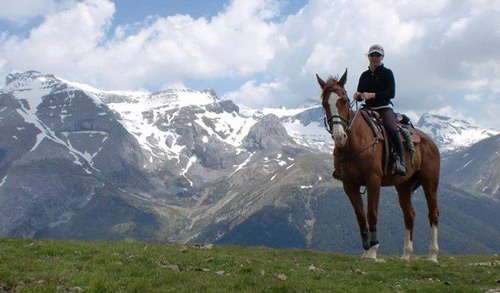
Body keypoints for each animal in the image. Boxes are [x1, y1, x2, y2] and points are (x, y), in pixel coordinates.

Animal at [318, 69, 440, 262]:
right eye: (324, 103)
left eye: (344, 100)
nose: (339, 136)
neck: (356, 142)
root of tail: (431, 142)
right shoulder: (349, 185)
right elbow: (360, 216)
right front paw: (366, 249)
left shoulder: (373, 180)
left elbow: (372, 213)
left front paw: (373, 251)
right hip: (403, 186)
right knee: (409, 215)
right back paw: (406, 255)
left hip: (430, 183)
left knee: (433, 214)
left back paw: (432, 256)